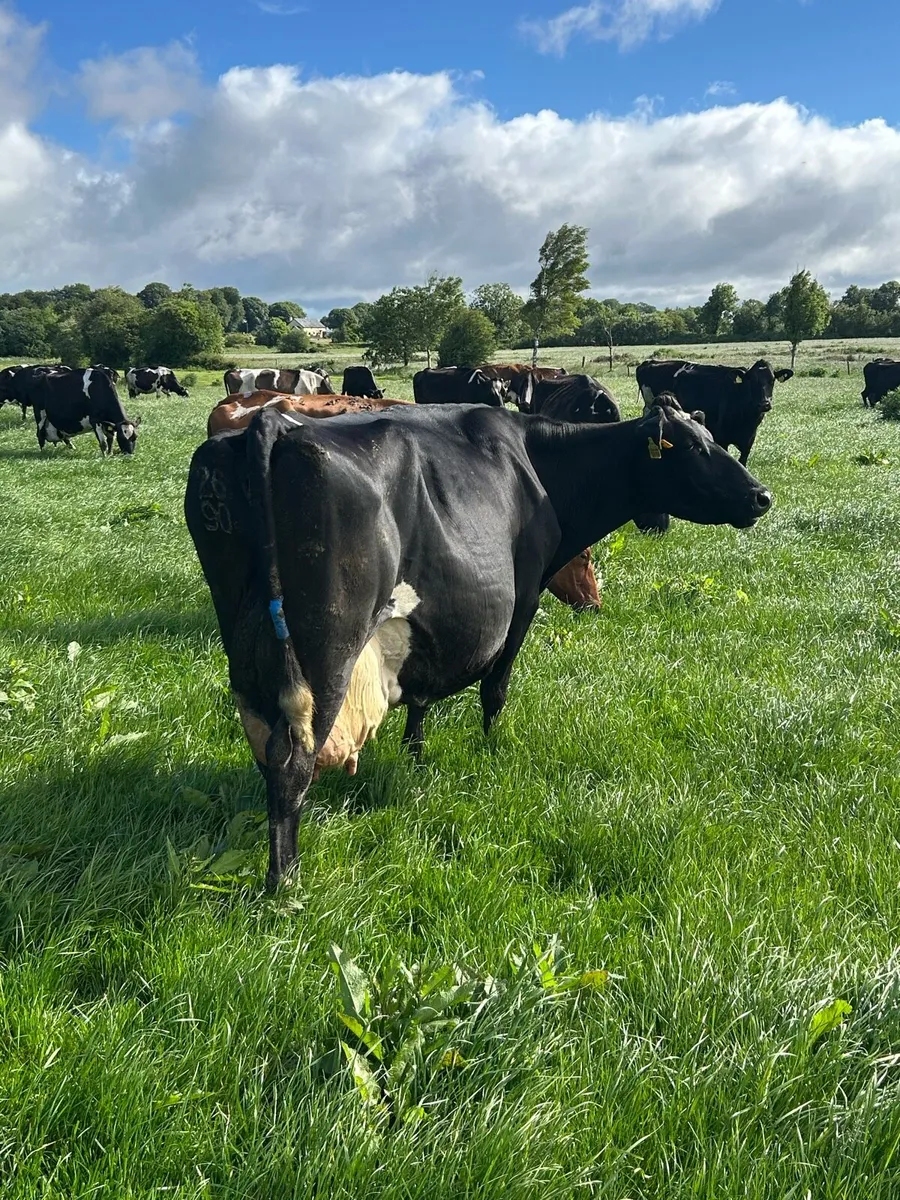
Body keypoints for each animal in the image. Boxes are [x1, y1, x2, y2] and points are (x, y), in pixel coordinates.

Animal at [185, 400, 772, 888]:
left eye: (713, 438)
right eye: (693, 448)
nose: (761, 495)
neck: (539, 462)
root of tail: (271, 423)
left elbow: (420, 696)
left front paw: (416, 758)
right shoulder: (526, 593)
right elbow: (496, 686)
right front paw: (491, 749)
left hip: (246, 645)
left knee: (267, 749)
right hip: (327, 647)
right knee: (293, 763)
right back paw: (285, 887)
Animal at [635, 358, 793, 465]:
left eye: (772, 380)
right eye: (751, 381)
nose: (764, 404)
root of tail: (650, 362)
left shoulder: (748, 442)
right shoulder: (722, 439)